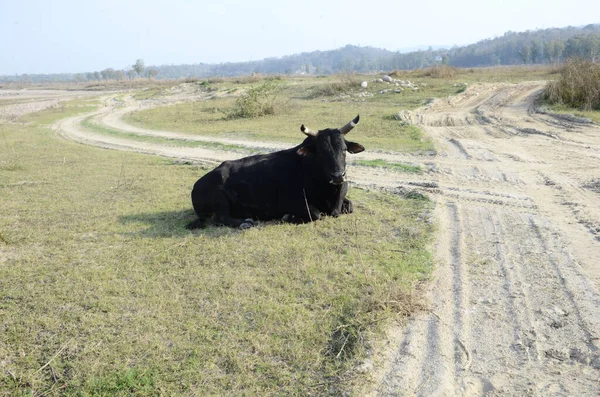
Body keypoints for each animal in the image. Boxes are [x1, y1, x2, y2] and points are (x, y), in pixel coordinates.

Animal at [188, 114, 364, 229]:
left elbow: (349, 206)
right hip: (219, 198)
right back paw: (245, 222)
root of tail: (196, 185)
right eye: (320, 152)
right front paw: (289, 217)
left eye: (344, 149)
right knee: (221, 218)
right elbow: (315, 213)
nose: (338, 176)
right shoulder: (292, 201)